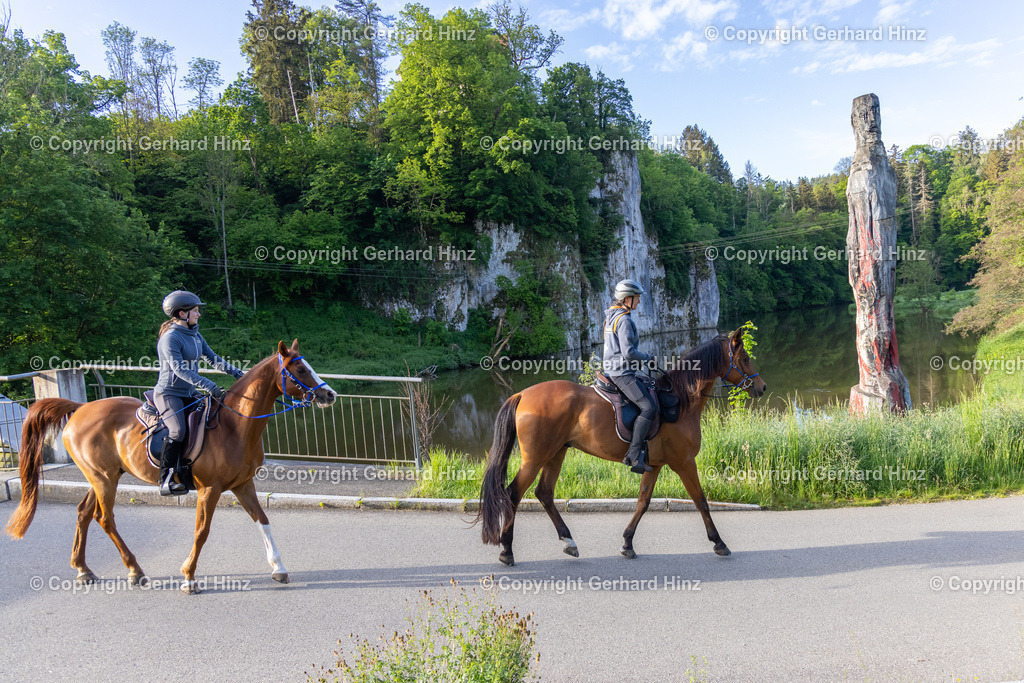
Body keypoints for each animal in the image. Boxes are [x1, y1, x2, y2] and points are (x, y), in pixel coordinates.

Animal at [7, 342, 335, 593]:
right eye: (300, 370)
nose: (329, 394)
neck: (235, 425)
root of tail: (79, 409)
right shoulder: (209, 489)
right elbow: (202, 531)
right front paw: (189, 577)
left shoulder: (243, 485)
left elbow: (263, 520)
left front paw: (279, 567)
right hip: (104, 480)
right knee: (105, 518)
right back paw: (134, 570)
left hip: (102, 477)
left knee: (84, 513)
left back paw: (83, 568)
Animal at [479, 329, 770, 565]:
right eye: (745, 359)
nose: (762, 387)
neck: (680, 399)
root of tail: (522, 394)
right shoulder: (685, 462)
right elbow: (701, 501)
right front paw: (719, 542)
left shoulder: (654, 465)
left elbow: (643, 502)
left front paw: (627, 543)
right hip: (536, 457)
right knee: (513, 494)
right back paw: (507, 551)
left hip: (556, 453)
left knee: (544, 493)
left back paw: (568, 541)